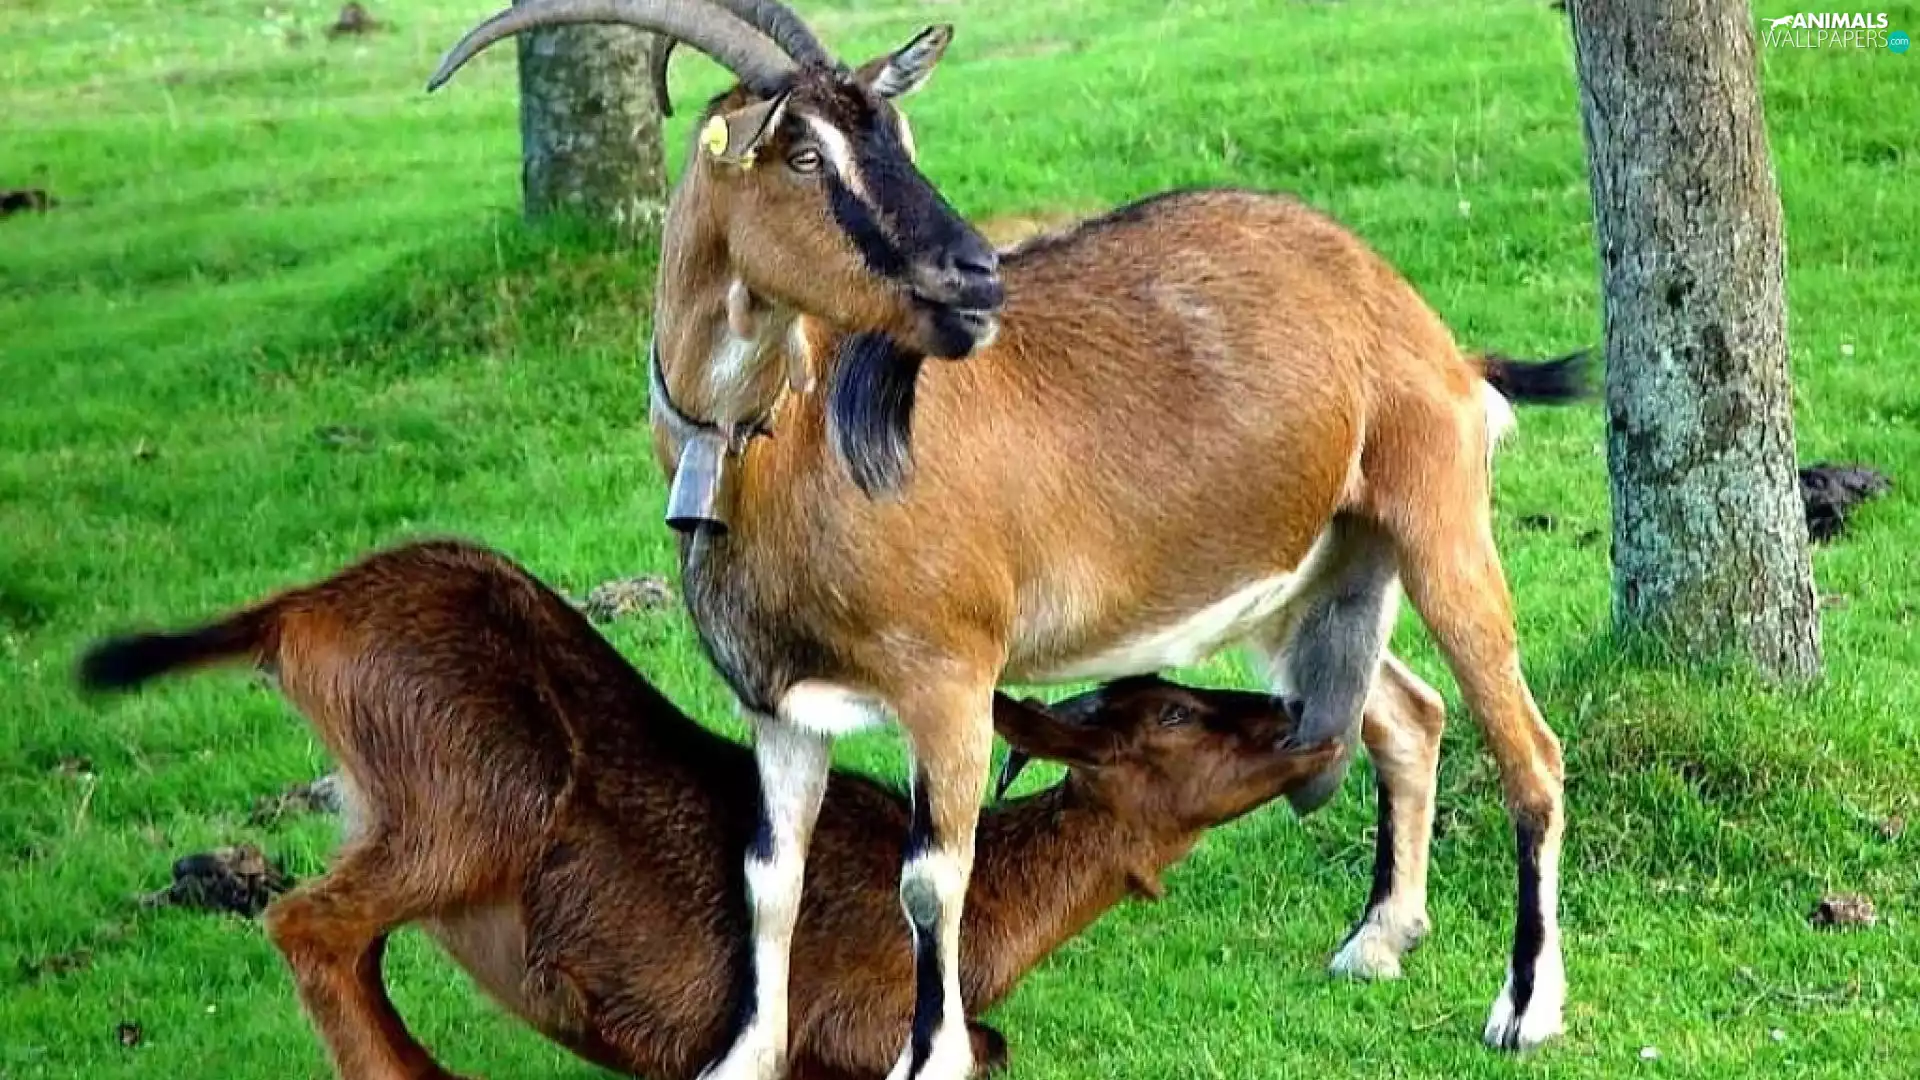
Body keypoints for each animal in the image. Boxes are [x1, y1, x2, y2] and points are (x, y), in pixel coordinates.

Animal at [77, 539, 1339, 1080]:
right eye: (1170, 713)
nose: (1302, 716)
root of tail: (294, 616)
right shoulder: (854, 1012)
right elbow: (979, 1047)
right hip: (472, 790)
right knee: (305, 919)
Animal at [427, 1, 1588, 1071]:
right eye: (802, 152)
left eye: (899, 134)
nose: (975, 274)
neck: (786, 450)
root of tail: (1423, 327)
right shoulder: (776, 704)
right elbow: (768, 880)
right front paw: (743, 1057)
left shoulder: (949, 677)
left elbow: (932, 880)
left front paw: (930, 1055)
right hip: (1307, 577)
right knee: (1408, 715)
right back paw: (1379, 939)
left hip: (1439, 522)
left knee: (1527, 746)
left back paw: (1525, 1009)